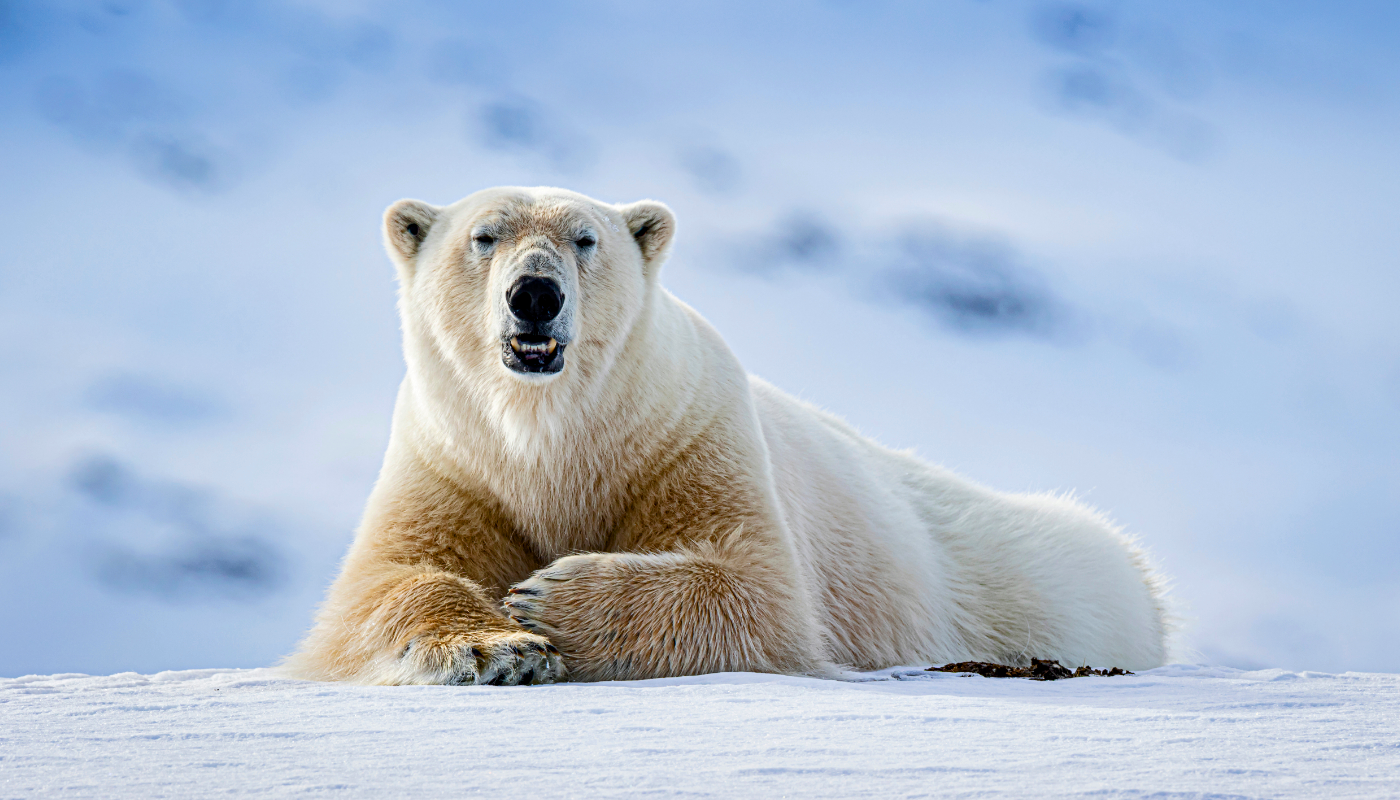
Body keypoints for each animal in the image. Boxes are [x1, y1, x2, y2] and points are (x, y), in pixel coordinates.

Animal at [283, 186, 1171, 685]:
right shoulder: (454, 462)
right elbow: (385, 584)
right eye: (485, 235)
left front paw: (547, 601)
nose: (534, 294)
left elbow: (757, 589)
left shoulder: (687, 437)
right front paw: (498, 650)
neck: (554, 440)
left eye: (585, 239)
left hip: (1042, 584)